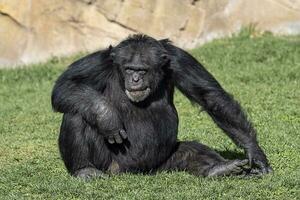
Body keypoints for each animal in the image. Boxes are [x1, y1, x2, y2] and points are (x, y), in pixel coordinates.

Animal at [51, 34, 272, 180]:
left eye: (142, 70)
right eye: (129, 69)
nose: (135, 79)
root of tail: (134, 173)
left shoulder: (179, 59)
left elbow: (210, 97)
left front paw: (255, 154)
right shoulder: (100, 62)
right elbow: (66, 85)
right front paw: (106, 117)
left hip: (163, 163)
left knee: (190, 150)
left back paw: (219, 169)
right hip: (109, 165)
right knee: (76, 113)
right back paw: (84, 170)